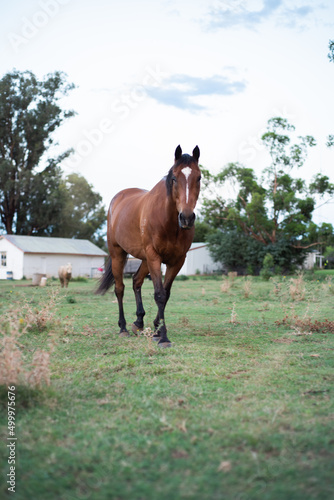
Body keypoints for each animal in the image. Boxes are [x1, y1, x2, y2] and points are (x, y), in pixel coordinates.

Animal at [96, 145, 201, 348]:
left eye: (198, 177)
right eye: (174, 178)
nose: (186, 218)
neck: (168, 222)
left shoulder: (177, 261)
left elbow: (166, 294)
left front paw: (157, 331)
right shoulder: (154, 256)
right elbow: (159, 294)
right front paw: (164, 336)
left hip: (144, 259)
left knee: (136, 281)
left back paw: (138, 322)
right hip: (119, 254)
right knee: (119, 288)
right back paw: (123, 328)